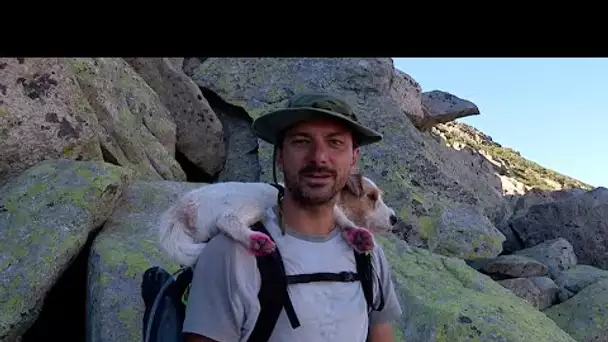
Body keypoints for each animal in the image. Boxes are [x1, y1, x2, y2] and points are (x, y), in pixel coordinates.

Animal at [156, 172, 400, 266]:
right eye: (371, 197)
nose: (394, 218)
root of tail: (182, 207)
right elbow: (341, 217)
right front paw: (355, 231)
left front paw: (356, 235)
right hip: (253, 204)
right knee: (226, 221)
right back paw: (255, 240)